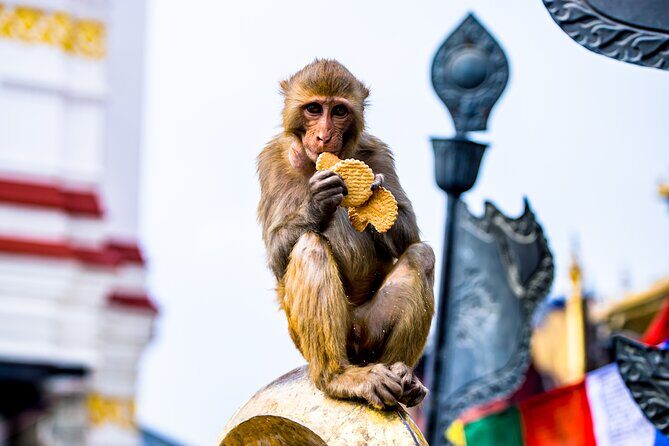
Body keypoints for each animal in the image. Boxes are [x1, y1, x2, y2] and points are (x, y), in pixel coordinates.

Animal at [257, 59, 435, 410]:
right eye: (314, 109)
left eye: (338, 110)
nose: (324, 135)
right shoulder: (271, 160)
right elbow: (277, 253)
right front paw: (317, 204)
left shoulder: (377, 151)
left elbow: (408, 236)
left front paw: (374, 192)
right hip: (312, 341)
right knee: (309, 246)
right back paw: (337, 377)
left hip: (369, 331)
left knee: (421, 256)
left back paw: (402, 376)